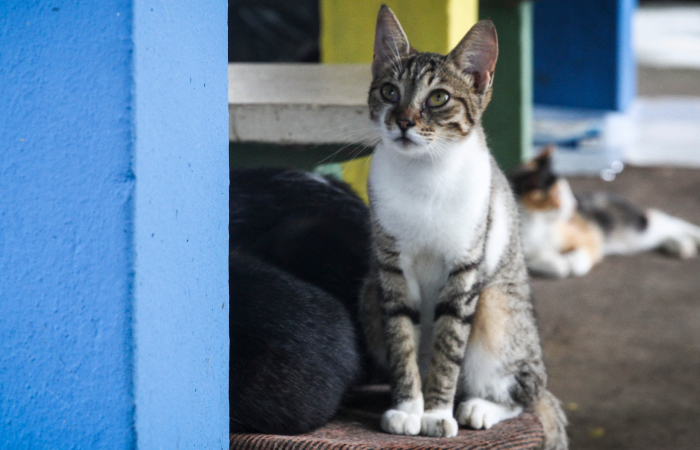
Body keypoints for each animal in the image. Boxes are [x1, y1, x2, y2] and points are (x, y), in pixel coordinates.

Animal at [358, 5, 568, 448]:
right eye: (389, 92)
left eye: (438, 97)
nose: (403, 121)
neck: (424, 173)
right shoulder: (390, 268)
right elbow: (402, 339)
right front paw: (408, 409)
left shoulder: (465, 269)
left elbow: (448, 345)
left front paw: (437, 414)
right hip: (368, 292)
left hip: (497, 305)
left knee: (528, 392)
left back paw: (478, 407)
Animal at [508, 147, 700, 278]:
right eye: (559, 194)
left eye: (566, 189)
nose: (575, 205)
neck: (536, 222)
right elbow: (540, 262)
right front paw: (558, 263)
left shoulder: (588, 236)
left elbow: (584, 253)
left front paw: (572, 262)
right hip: (631, 239)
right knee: (661, 232)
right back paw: (680, 245)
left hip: (630, 226)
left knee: (665, 221)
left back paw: (690, 239)